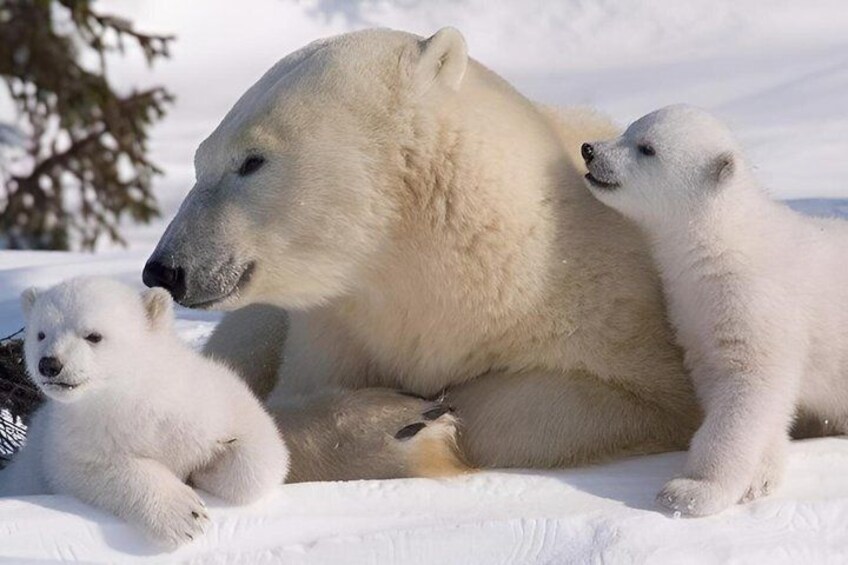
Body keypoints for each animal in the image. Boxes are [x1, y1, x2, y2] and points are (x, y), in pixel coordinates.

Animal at [0, 277, 289, 548]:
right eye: (41, 334)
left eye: (93, 335)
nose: (50, 364)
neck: (134, 397)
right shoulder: (73, 437)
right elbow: (93, 470)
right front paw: (186, 514)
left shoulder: (205, 401)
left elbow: (260, 450)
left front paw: (206, 470)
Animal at [142, 27, 704, 479]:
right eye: (200, 160)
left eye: (251, 161)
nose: (165, 268)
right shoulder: (337, 329)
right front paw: (397, 423)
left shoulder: (608, 307)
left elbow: (623, 398)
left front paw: (429, 417)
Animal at [581, 104, 848, 516]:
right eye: (628, 129)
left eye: (647, 148)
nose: (589, 149)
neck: (725, 243)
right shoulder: (695, 315)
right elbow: (727, 384)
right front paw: (760, 476)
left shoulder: (756, 302)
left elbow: (745, 389)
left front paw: (690, 492)